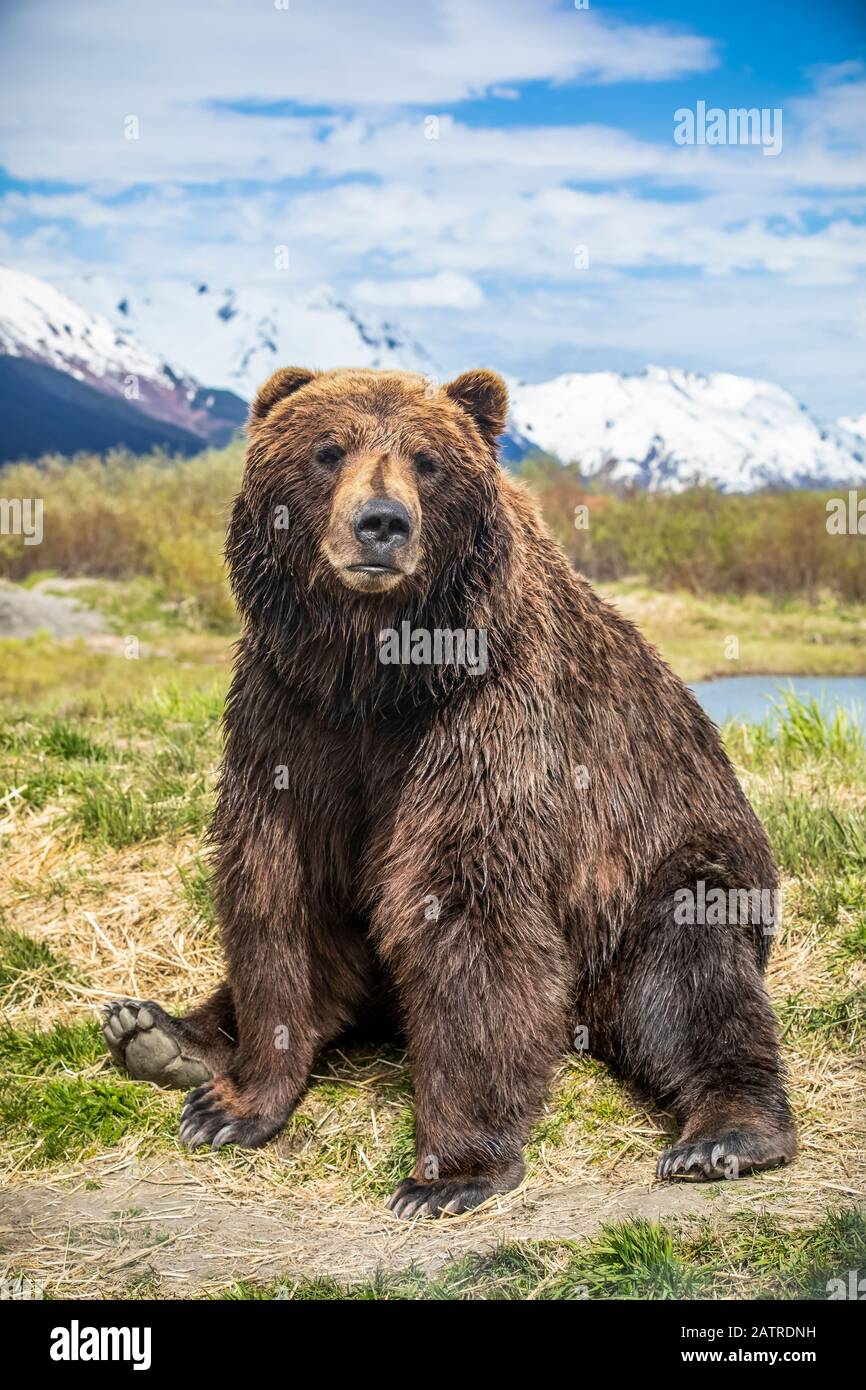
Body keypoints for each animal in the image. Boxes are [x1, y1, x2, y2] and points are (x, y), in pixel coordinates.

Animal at [103, 366, 800, 1217]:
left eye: (428, 461)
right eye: (328, 450)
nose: (381, 523)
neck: (374, 673)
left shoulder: (483, 717)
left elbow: (465, 906)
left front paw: (447, 1174)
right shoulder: (290, 718)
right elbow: (280, 894)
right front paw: (232, 1105)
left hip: (661, 871)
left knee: (692, 982)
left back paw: (723, 1134)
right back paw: (157, 1034)